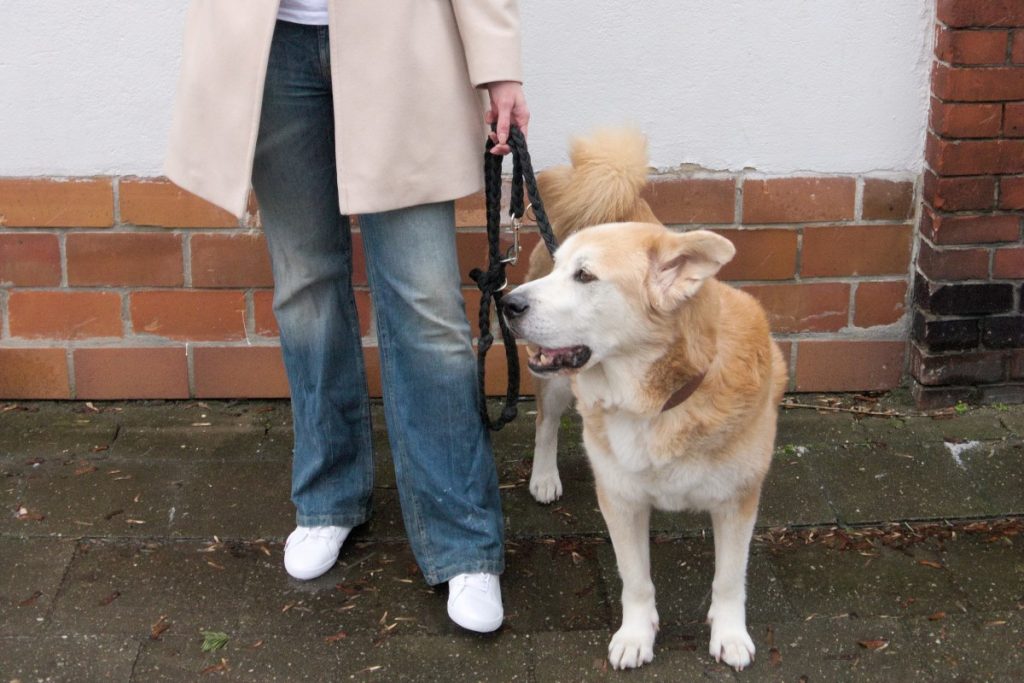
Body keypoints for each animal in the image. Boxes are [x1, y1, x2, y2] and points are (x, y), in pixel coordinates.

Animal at [507, 131, 786, 671]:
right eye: (560, 269)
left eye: (585, 277)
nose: (508, 303)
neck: (656, 403)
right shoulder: (620, 499)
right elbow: (635, 579)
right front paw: (636, 635)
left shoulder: (738, 501)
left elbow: (729, 579)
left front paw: (729, 634)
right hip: (554, 385)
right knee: (545, 424)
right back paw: (545, 477)